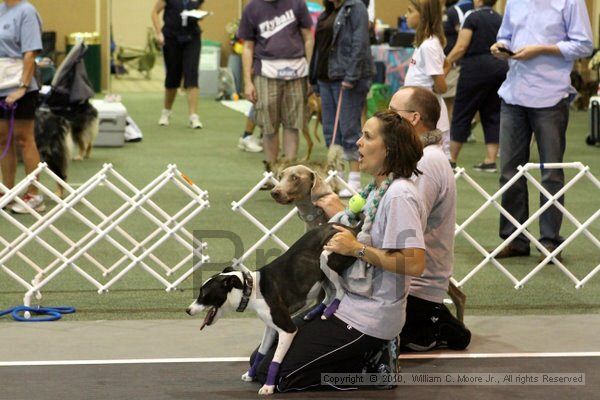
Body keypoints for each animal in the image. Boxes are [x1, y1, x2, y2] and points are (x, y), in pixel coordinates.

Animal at [185, 223, 358, 396]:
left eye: (204, 294)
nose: (187, 310)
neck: (250, 289)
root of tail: (350, 227)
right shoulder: (270, 327)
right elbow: (261, 354)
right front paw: (250, 374)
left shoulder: (288, 330)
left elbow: (275, 360)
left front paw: (268, 386)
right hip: (321, 274)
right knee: (328, 293)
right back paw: (313, 313)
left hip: (327, 256)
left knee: (340, 290)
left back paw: (329, 311)